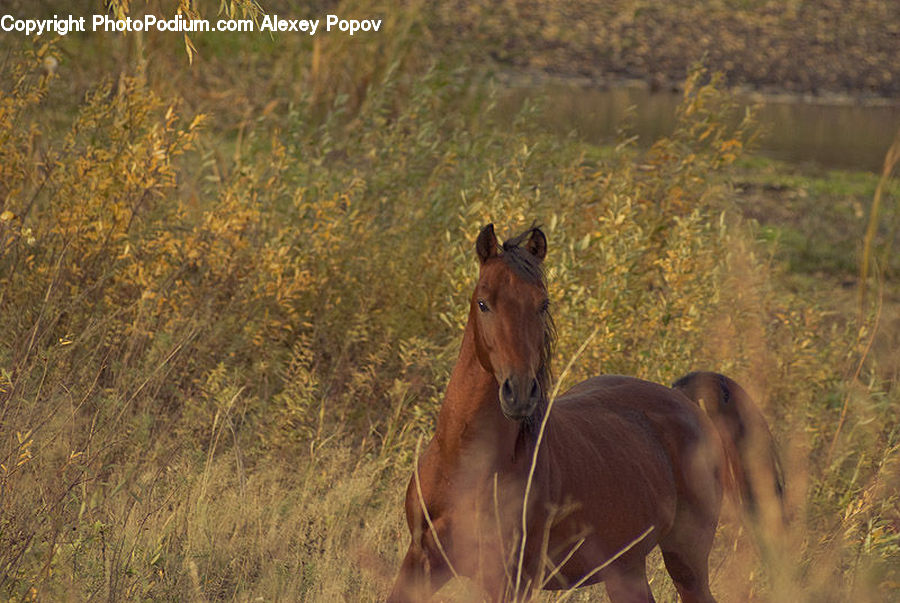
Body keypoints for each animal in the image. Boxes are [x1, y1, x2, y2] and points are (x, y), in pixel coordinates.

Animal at [388, 224, 785, 602]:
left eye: (543, 304)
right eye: (484, 303)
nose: (520, 393)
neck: (468, 465)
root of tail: (681, 399)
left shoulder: (510, 581)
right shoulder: (421, 560)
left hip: (685, 558)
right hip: (625, 568)